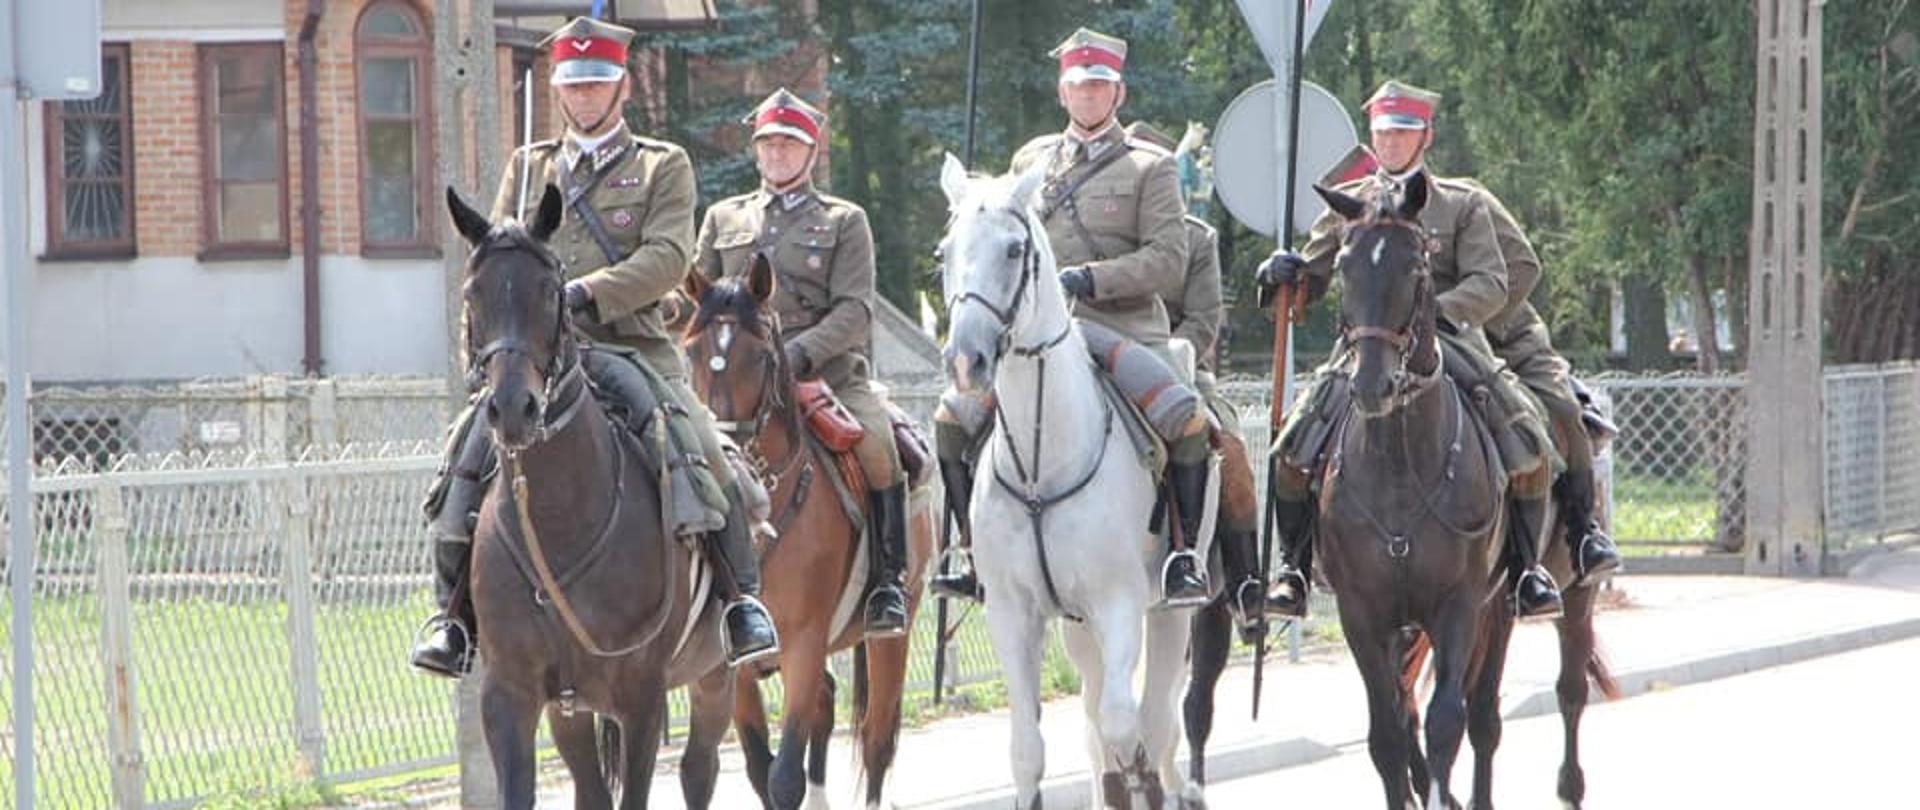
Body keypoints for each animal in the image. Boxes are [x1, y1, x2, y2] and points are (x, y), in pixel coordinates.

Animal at [445, 185, 737, 810]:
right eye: (472, 292)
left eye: (551, 290)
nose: (512, 408)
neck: (557, 516)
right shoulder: (510, 694)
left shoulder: (642, 698)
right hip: (572, 710)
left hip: (716, 675)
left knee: (700, 769)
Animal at [683, 255, 936, 810]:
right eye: (690, 351)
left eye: (760, 356)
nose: (720, 451)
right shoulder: (736, 663)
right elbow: (760, 768)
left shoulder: (803, 642)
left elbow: (783, 777)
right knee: (826, 705)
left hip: (894, 633)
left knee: (877, 740)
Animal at [933, 153, 1198, 810]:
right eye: (944, 251)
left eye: (1012, 249)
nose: (965, 360)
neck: (1040, 460)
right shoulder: (1012, 611)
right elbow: (1029, 749)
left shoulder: (1121, 602)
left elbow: (1128, 729)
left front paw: (1143, 783)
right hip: (1078, 627)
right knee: (1094, 720)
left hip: (1171, 611)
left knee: (1154, 720)